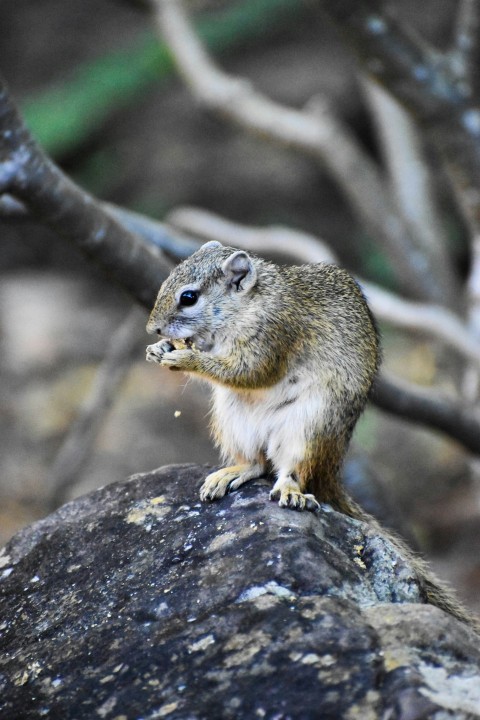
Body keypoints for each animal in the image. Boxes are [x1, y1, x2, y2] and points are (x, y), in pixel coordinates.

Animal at [146, 240, 479, 632]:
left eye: (189, 297)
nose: (153, 329)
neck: (247, 305)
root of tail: (330, 469)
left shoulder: (275, 332)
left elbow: (249, 371)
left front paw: (186, 359)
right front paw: (160, 350)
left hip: (309, 429)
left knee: (289, 469)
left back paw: (291, 491)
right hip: (233, 421)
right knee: (257, 464)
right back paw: (231, 473)